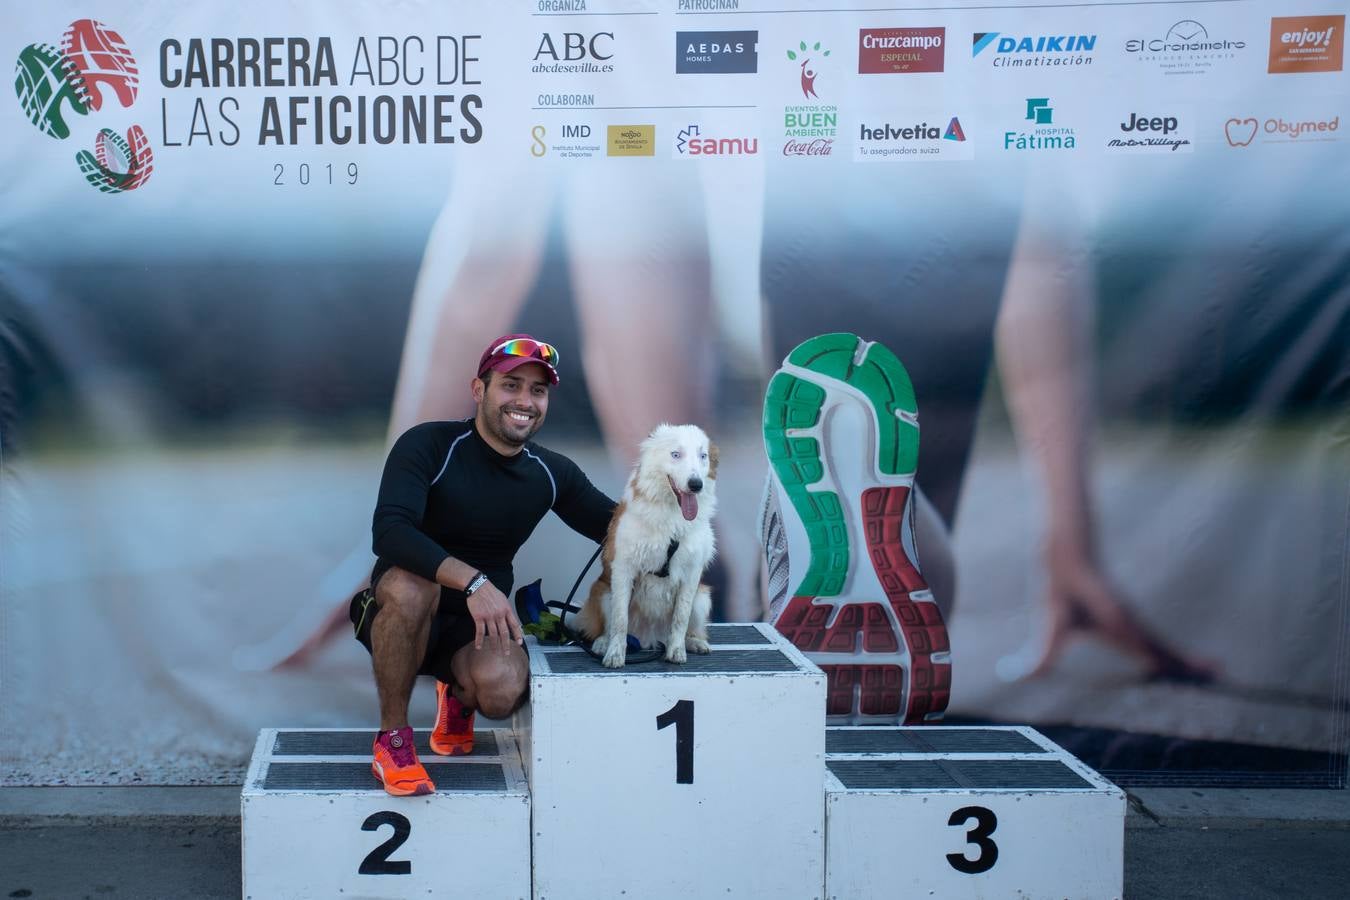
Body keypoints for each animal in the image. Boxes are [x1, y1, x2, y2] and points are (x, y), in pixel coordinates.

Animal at [577, 423, 723, 669]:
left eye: (703, 456)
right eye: (676, 454)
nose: (696, 485)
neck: (672, 517)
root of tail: (648, 639)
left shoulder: (692, 573)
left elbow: (680, 618)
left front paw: (676, 652)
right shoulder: (623, 568)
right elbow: (619, 620)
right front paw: (614, 654)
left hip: (702, 598)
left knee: (687, 627)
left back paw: (694, 642)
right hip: (602, 591)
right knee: (606, 627)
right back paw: (602, 643)